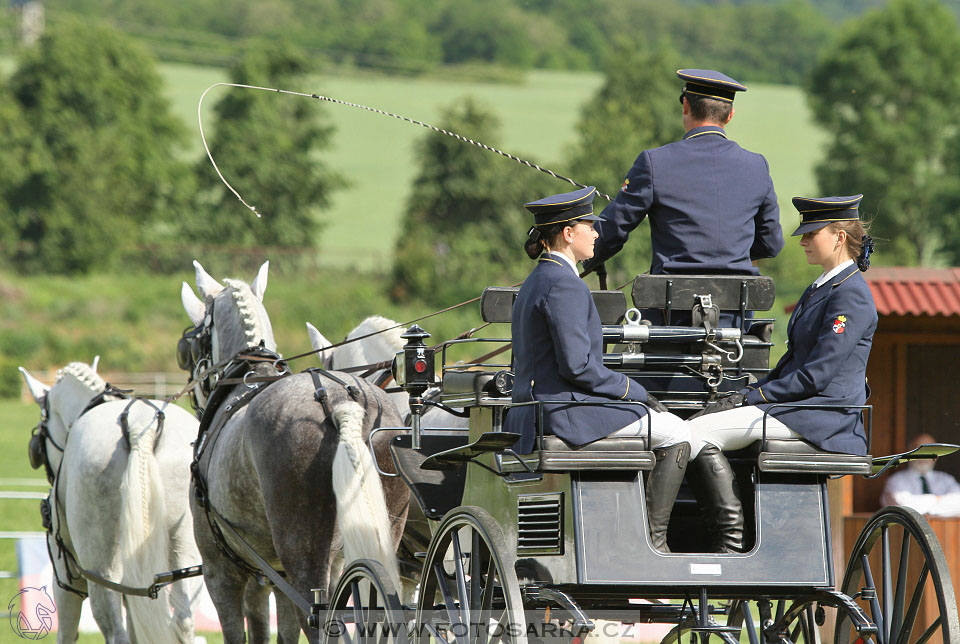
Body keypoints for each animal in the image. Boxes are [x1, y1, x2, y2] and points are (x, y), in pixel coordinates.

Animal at [20, 360, 202, 644]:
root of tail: (140, 427)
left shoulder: (65, 579)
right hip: (185, 559)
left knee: (117, 633)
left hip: (101, 573)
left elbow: (66, 630)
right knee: (183, 620)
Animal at [180, 260, 408, 640]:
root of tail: (343, 402)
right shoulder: (273, 576)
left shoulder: (221, 572)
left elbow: (241, 632)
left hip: (304, 557)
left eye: (193, 343)